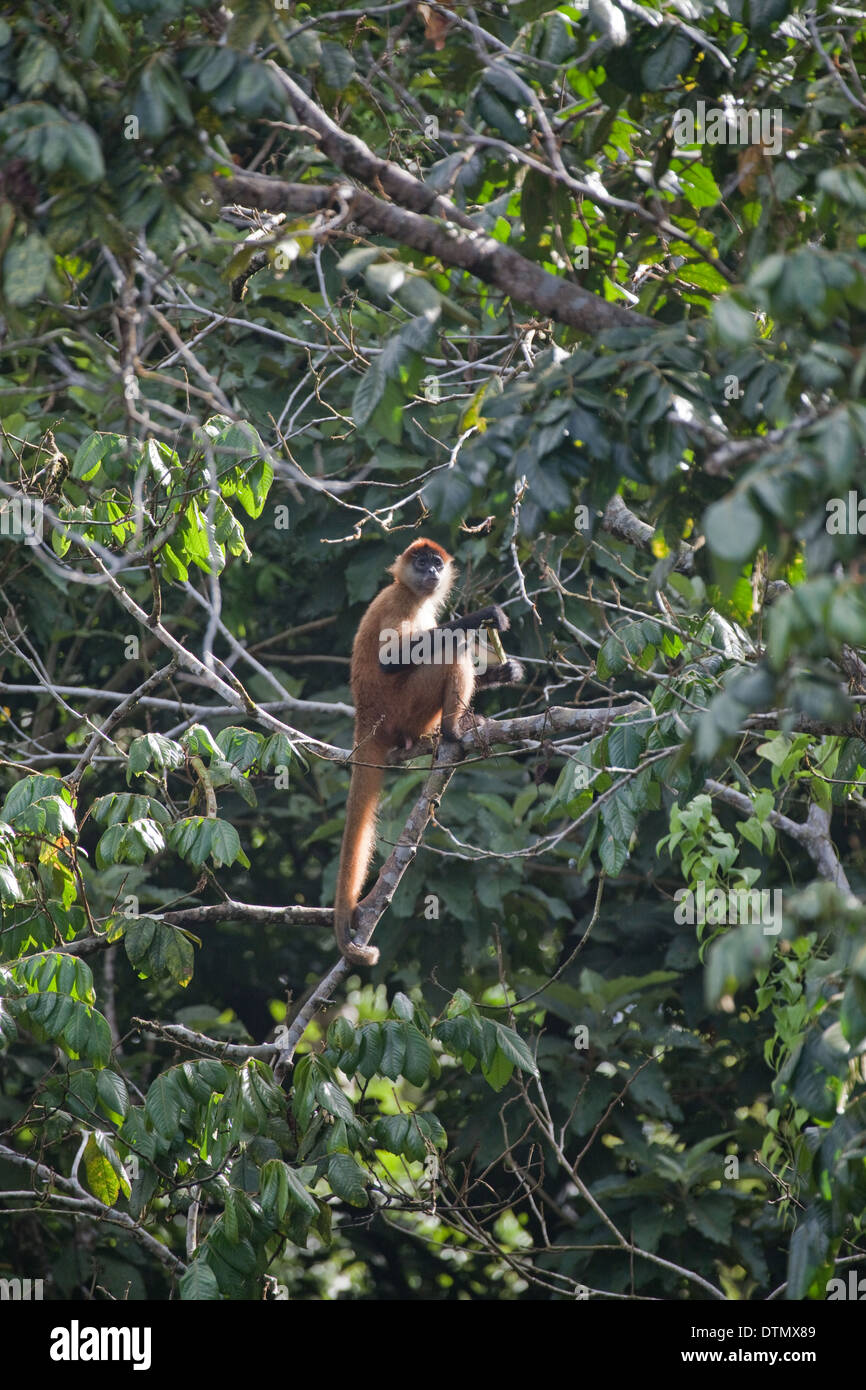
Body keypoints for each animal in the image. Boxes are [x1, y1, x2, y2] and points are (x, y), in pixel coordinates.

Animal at [333, 538, 524, 967]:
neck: (411, 594)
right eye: (421, 563)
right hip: (402, 706)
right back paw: (454, 729)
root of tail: (366, 715)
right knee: (451, 646)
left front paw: (507, 672)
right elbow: (391, 660)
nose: (432, 572)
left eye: (436, 563)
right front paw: (485, 616)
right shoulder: (396, 602)